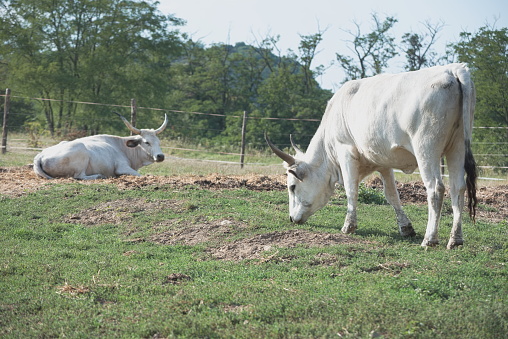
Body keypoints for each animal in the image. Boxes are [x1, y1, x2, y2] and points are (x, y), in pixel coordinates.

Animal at [34, 113, 169, 181]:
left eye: (158, 142)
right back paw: (99, 176)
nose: (160, 156)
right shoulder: (122, 167)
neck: (122, 147)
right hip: (81, 153)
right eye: (147, 142)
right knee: (79, 176)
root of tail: (40, 156)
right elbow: (140, 175)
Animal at [268, 63, 478, 250]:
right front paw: (406, 228)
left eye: (292, 187)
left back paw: (430, 239)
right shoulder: (383, 162)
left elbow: (351, 189)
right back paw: (456, 239)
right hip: (457, 147)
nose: (291, 218)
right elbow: (392, 195)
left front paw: (348, 225)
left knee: (435, 188)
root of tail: (452, 69)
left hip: (426, 149)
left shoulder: (346, 151)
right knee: (458, 188)